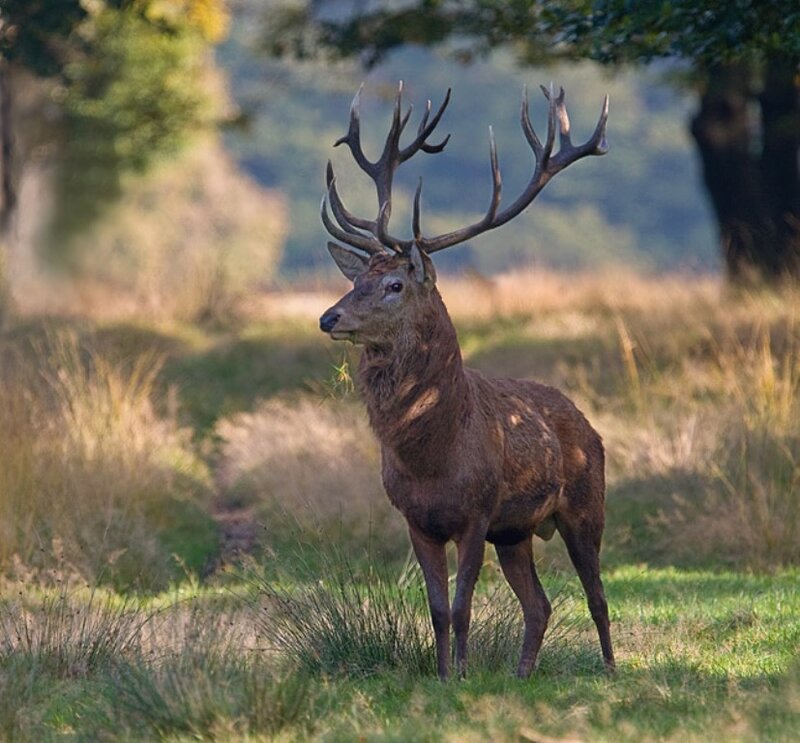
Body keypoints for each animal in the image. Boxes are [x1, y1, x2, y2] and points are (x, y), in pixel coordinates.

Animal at [318, 81, 614, 680]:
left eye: (394, 285)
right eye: (356, 279)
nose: (328, 318)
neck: (433, 457)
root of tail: (587, 423)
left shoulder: (477, 512)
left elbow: (461, 606)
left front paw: (462, 676)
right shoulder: (416, 519)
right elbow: (436, 608)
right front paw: (441, 677)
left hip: (584, 504)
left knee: (596, 596)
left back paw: (612, 670)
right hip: (516, 531)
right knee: (540, 603)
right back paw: (521, 676)